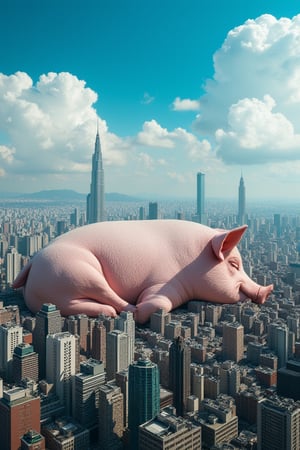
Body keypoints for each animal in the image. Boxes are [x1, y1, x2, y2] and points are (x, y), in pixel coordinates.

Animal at [12, 219, 274, 322]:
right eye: (234, 264)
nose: (266, 291)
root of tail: (32, 263)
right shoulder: (165, 283)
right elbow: (159, 302)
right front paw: (140, 311)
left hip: (58, 292)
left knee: (76, 305)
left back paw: (111, 312)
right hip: (77, 270)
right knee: (108, 294)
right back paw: (129, 310)